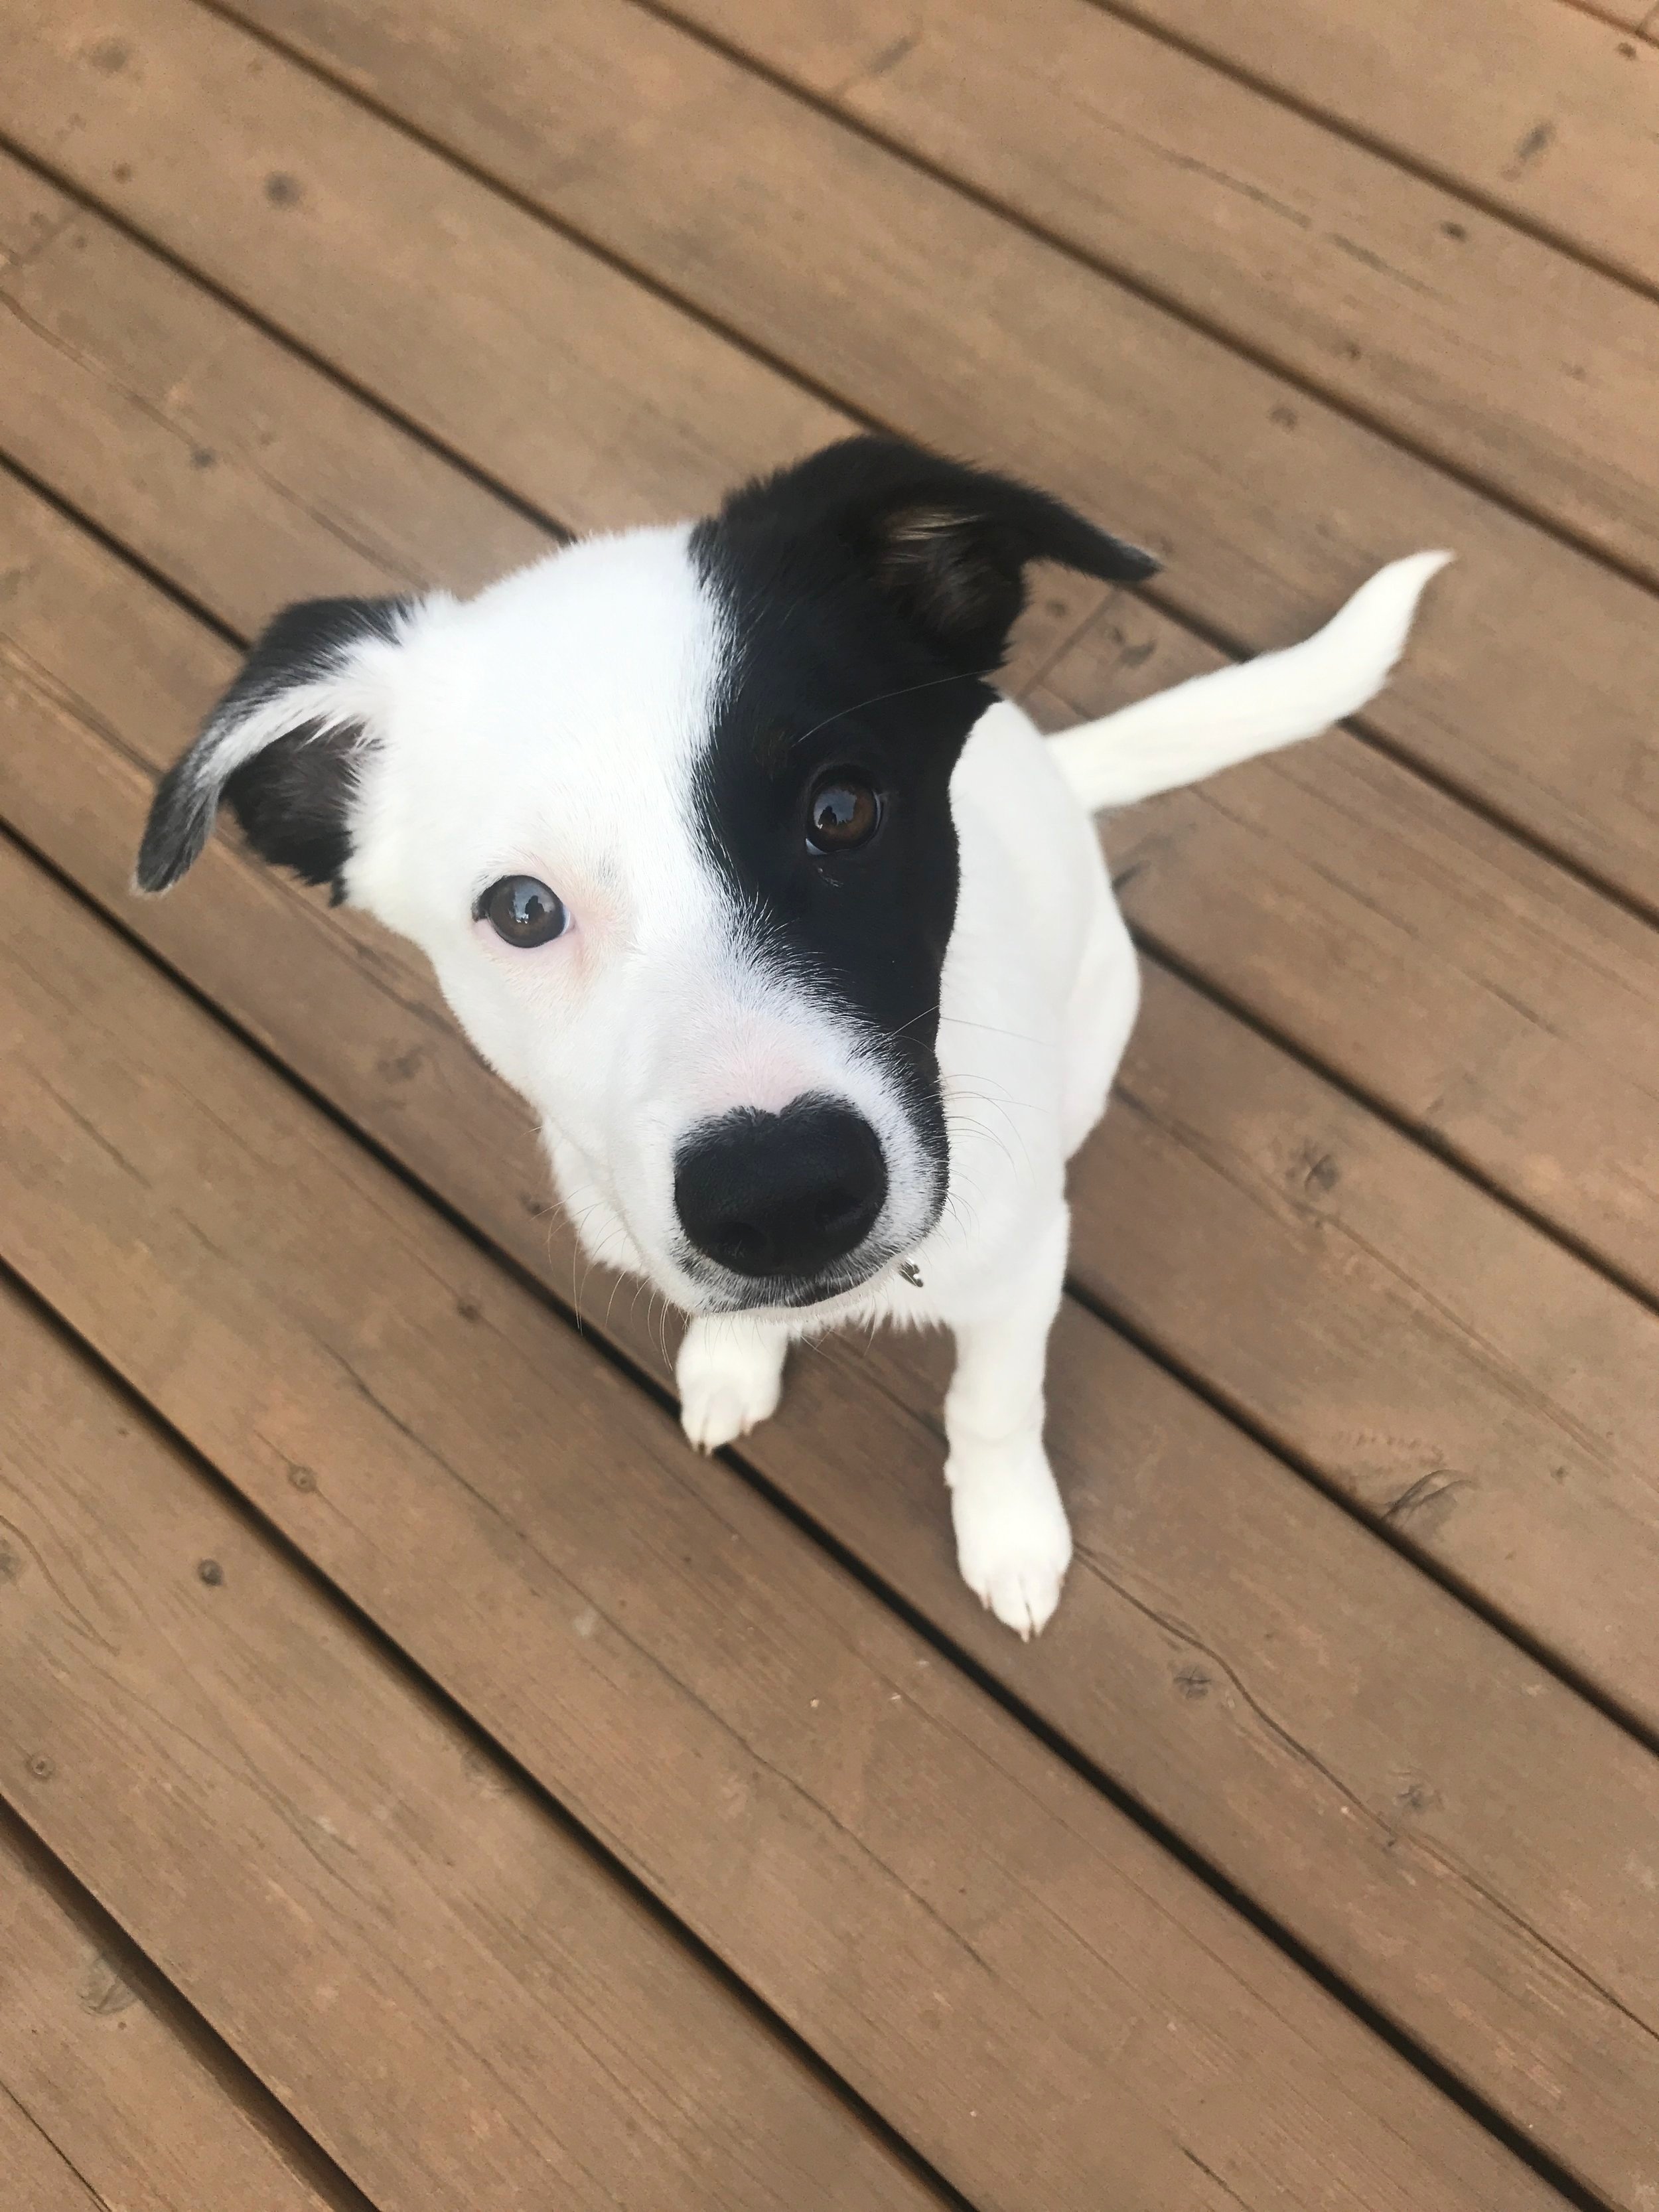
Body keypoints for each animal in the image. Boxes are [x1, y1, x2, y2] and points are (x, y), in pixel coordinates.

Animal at [136, 440, 1451, 1637]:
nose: (783, 1197)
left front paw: (1009, 1532)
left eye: (843, 809)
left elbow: (995, 1401)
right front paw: (734, 1360)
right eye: (521, 911)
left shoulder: (1025, 1259)